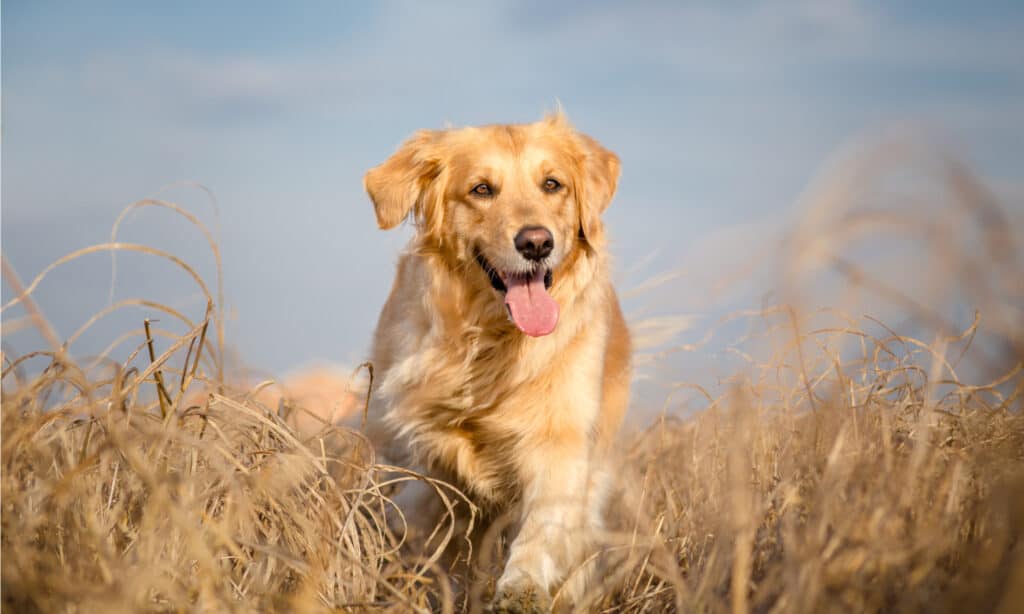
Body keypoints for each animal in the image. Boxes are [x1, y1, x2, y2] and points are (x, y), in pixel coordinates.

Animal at [360, 112, 630, 609]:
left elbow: (544, 523)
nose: (536, 243)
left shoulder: (561, 439)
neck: (492, 341)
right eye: (482, 189)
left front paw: (522, 585)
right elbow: (431, 527)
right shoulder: (425, 454)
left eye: (552, 184)